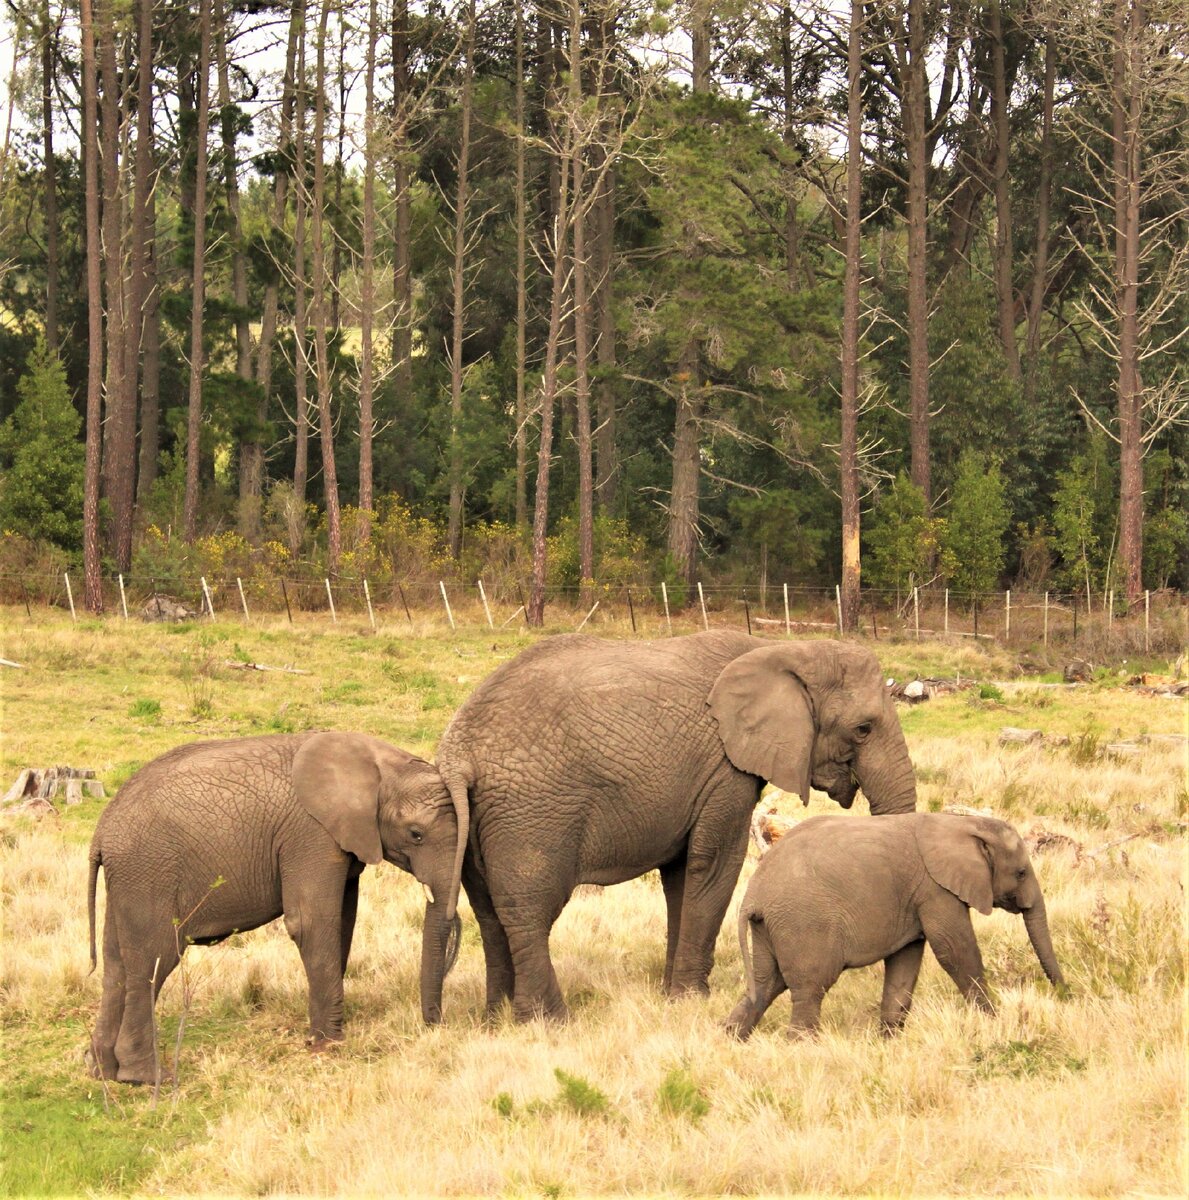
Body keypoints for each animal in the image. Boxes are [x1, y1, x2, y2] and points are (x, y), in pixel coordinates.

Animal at [83, 724, 463, 1084]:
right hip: (149, 871)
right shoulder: (310, 834)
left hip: (130, 880)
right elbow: (310, 923)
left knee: (116, 963)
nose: (433, 1025)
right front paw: (328, 1045)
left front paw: (324, 1037)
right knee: (154, 958)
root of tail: (100, 834)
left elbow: (343, 920)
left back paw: (102, 1072)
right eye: (416, 834)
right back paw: (147, 1078)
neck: (379, 763)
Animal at [429, 628, 921, 1022]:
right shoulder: (724, 770)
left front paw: (672, 998)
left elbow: (682, 875)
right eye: (863, 728)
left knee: (490, 912)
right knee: (528, 911)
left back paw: (496, 1020)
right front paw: (691, 999)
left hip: (476, 818)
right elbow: (715, 866)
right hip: (533, 813)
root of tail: (457, 750)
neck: (780, 648)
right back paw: (547, 1022)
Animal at [724, 811, 1070, 1046]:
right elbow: (954, 950)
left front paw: (888, 1042)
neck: (964, 824)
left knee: (765, 984)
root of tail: (752, 896)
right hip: (803, 922)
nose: (1066, 995)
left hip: (771, 926)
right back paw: (802, 1046)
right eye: (1021, 872)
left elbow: (906, 959)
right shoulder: (936, 889)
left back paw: (729, 1039)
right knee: (810, 987)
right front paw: (994, 1021)